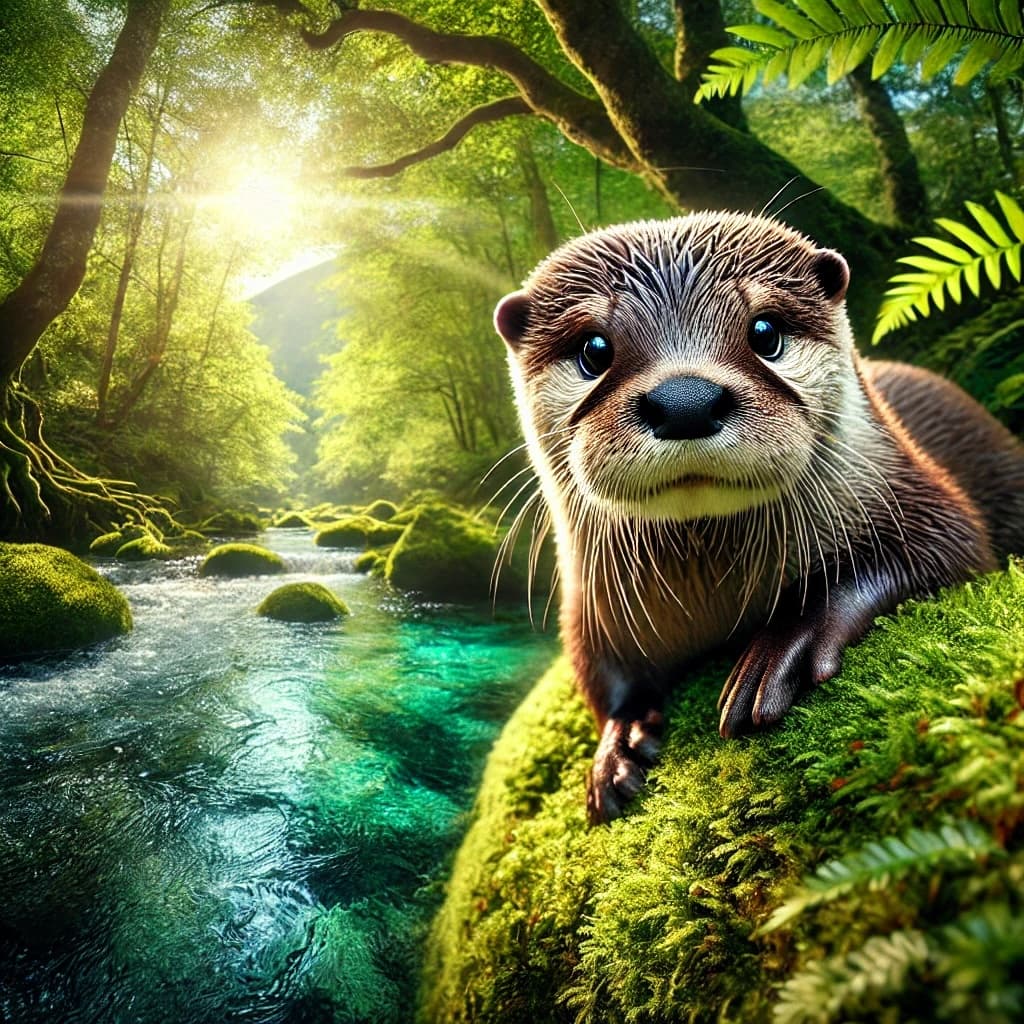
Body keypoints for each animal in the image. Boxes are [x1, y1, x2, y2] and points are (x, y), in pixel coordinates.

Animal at [493, 212, 1024, 824]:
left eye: (765, 332)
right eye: (594, 349)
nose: (686, 400)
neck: (718, 599)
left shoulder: (918, 497)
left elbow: (940, 549)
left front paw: (787, 645)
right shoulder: (590, 608)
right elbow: (601, 675)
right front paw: (619, 742)